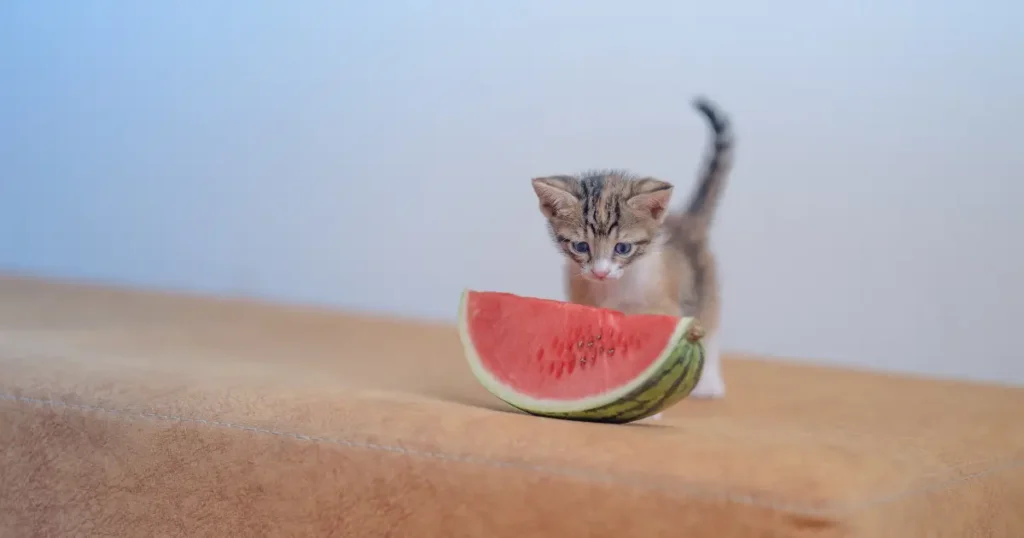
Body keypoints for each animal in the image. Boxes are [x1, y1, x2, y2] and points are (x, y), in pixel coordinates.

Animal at [528, 95, 737, 401]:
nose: (600, 272)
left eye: (623, 248)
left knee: (711, 322)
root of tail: (687, 221)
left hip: (704, 282)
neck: (615, 288)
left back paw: (709, 382)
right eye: (581, 246)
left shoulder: (664, 306)